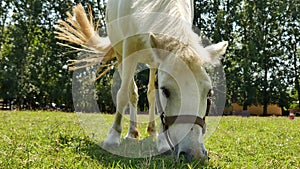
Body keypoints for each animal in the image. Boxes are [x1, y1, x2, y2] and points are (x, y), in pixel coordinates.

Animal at [55, 0, 227, 161]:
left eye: (208, 92)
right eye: (166, 91)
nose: (194, 154)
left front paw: (163, 142)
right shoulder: (128, 49)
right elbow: (123, 94)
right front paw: (113, 137)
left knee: (149, 94)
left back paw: (152, 132)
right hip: (120, 55)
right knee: (131, 92)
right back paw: (132, 133)